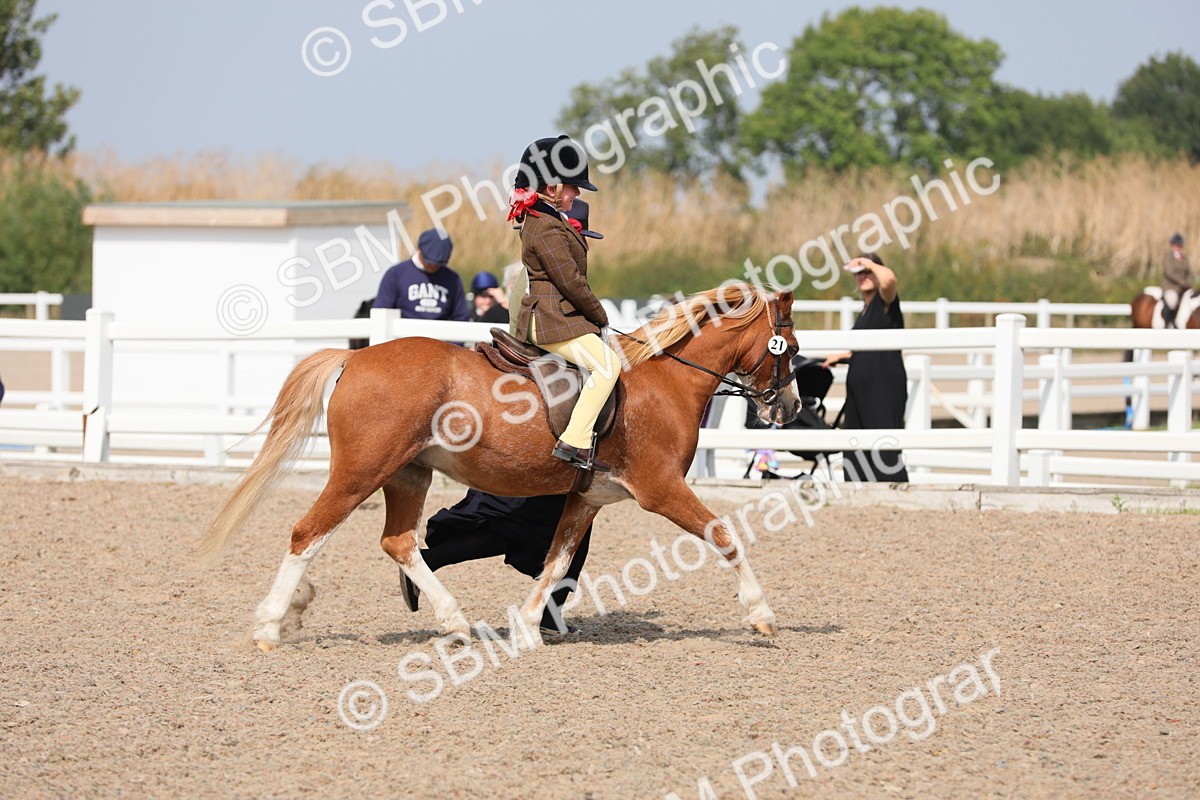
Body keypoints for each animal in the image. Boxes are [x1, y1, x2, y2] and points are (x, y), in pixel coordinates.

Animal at [198, 283, 802, 652]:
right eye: (791, 348)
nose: (790, 410)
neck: (665, 382)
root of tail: (357, 356)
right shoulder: (662, 489)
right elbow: (725, 536)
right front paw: (762, 615)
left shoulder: (587, 499)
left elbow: (556, 563)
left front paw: (529, 631)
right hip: (360, 474)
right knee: (308, 533)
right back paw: (271, 625)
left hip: (408, 474)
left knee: (400, 542)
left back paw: (452, 621)